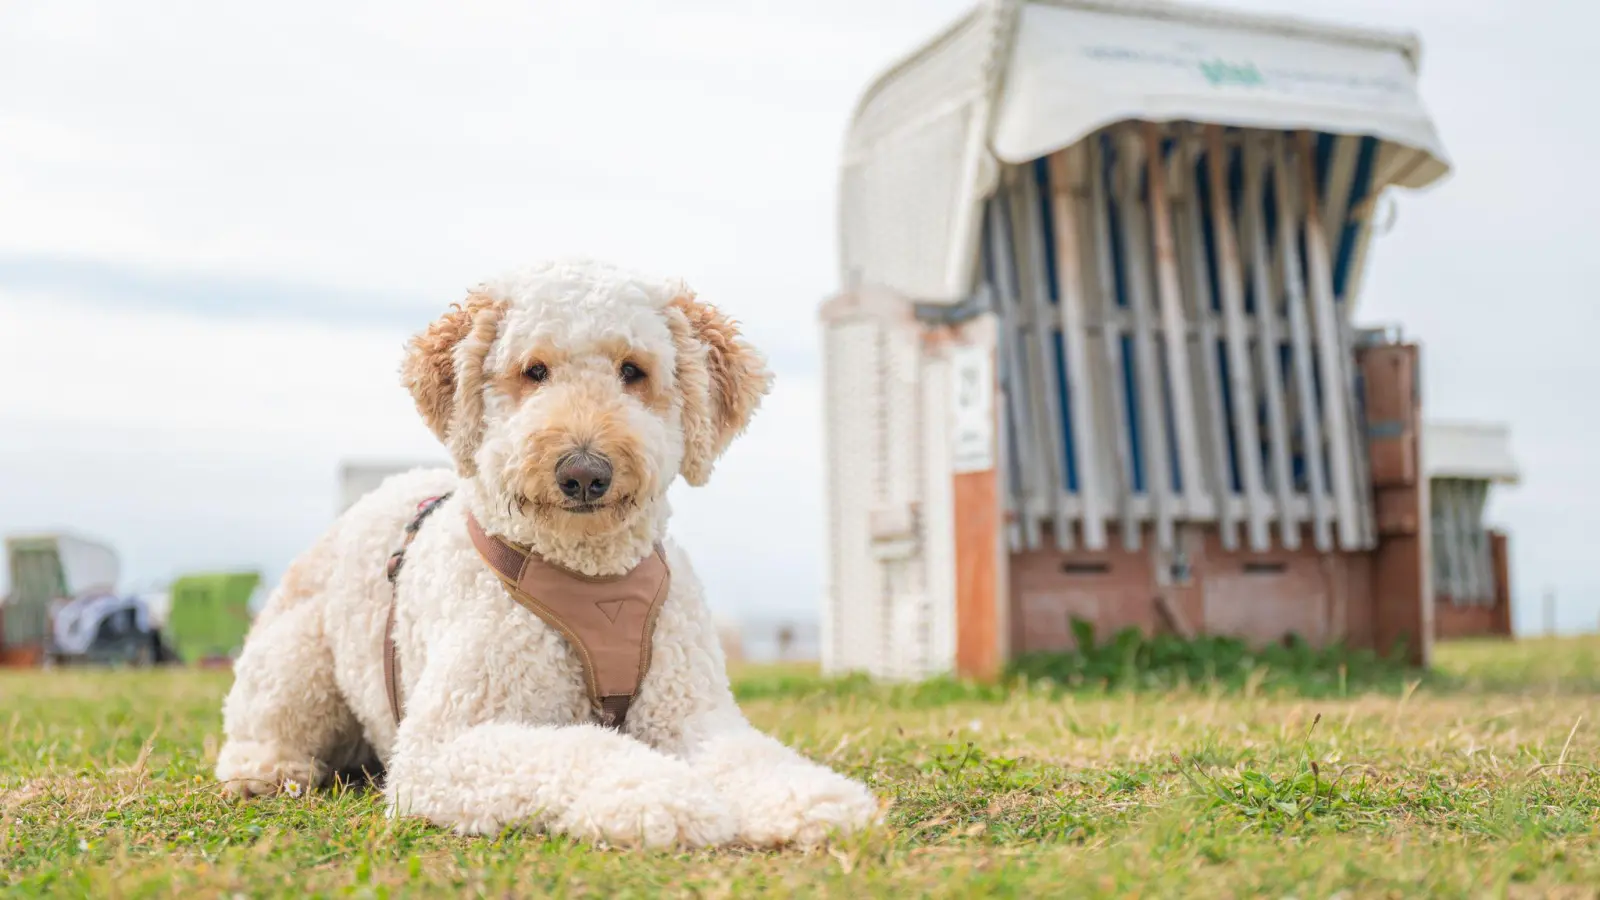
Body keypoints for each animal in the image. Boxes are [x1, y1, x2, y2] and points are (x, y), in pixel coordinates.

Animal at [214, 256, 883, 845]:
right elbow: (584, 749)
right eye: (534, 371)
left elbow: (746, 755)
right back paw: (267, 771)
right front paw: (659, 797)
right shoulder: (445, 745)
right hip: (294, 664)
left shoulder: (691, 713)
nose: (584, 472)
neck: (590, 574)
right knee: (257, 731)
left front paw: (814, 798)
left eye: (632, 370)